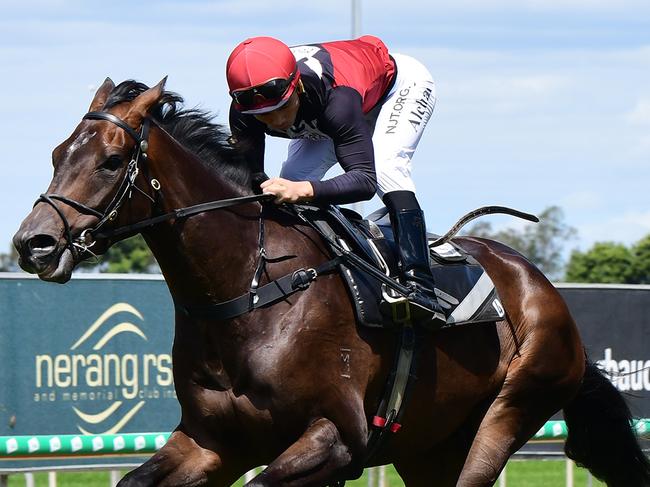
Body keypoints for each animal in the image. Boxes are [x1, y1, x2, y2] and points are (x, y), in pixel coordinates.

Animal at [11, 78, 648, 486]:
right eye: (58, 154)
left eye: (112, 161)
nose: (33, 244)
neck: (248, 294)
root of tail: (539, 285)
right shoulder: (212, 442)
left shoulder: (337, 439)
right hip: (429, 447)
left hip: (510, 410)